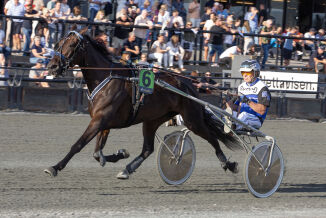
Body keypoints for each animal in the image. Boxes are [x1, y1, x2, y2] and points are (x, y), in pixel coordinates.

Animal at [44, 28, 239, 179]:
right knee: (148, 149)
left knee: (212, 138)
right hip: (152, 120)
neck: (107, 78)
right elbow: (97, 152)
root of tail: (188, 84)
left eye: (71, 45)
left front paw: (54, 167)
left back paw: (228, 164)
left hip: (192, 119)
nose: (52, 66)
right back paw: (127, 169)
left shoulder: (99, 120)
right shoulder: (103, 122)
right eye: (58, 44)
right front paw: (119, 154)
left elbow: (78, 145)